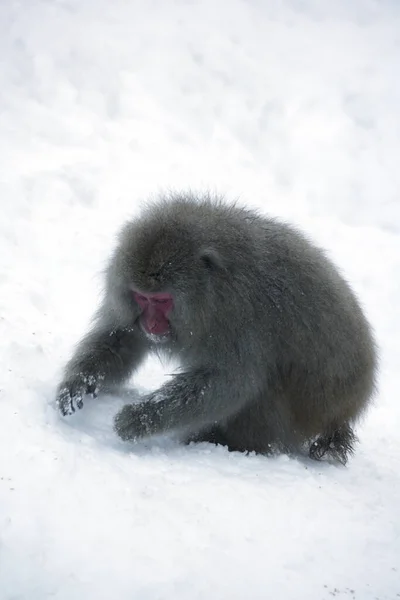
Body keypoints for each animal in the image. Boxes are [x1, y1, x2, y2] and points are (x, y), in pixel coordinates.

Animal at [55, 192, 376, 464]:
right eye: (142, 298)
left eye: (162, 300)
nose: (151, 323)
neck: (209, 292)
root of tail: (349, 409)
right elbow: (122, 336)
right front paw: (76, 385)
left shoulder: (237, 315)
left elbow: (232, 381)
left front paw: (140, 418)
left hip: (310, 410)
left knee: (266, 386)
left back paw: (228, 442)